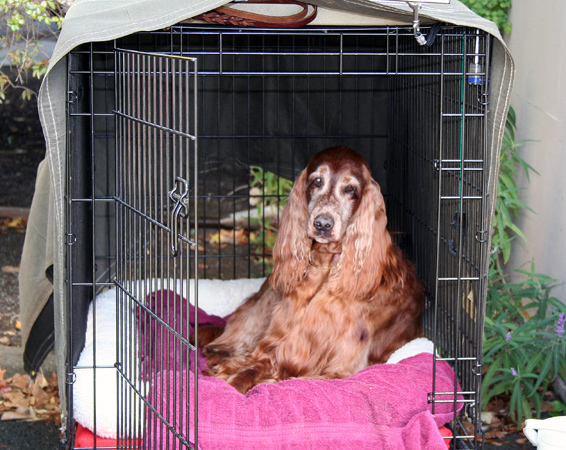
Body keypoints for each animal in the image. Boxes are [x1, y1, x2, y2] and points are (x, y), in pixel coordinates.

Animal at [200, 146, 426, 392]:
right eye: (317, 181)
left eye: (350, 189)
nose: (323, 224)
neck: (326, 263)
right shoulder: (278, 340)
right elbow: (255, 362)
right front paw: (230, 374)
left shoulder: (339, 369)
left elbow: (262, 369)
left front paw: (235, 379)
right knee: (222, 342)